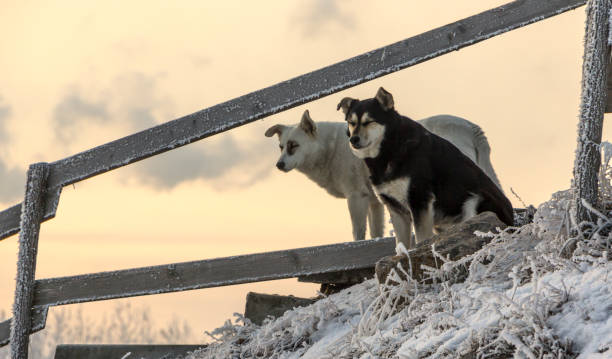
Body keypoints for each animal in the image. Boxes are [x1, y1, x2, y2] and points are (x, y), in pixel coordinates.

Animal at [266, 110, 500, 242]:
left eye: (294, 145)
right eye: (281, 147)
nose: (279, 165)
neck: (328, 148)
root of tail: (471, 128)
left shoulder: (356, 198)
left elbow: (358, 233)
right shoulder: (375, 202)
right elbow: (375, 232)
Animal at [338, 88, 512, 249]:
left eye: (369, 121)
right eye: (351, 123)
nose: (353, 139)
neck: (390, 147)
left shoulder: (419, 200)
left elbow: (421, 239)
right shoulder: (396, 209)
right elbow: (401, 247)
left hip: (475, 202)